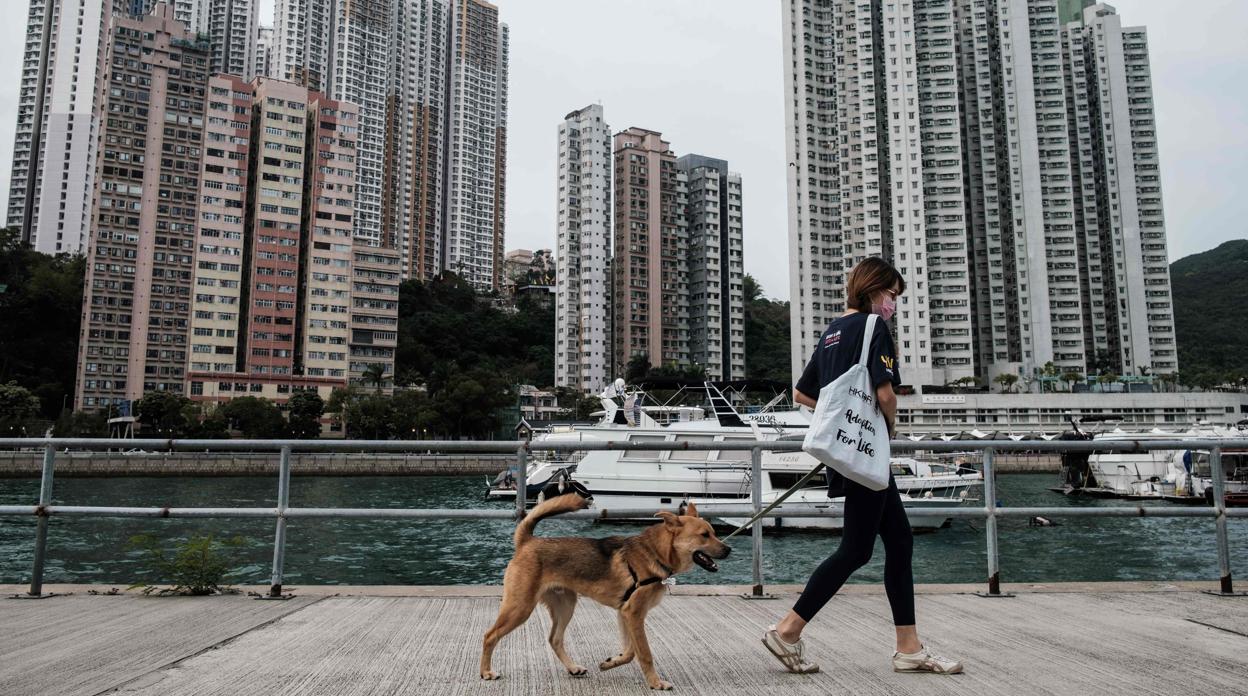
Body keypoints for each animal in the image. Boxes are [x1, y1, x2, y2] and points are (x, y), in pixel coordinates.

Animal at [476, 493, 728, 688]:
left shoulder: (626, 614)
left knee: (554, 639)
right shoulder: (633, 614)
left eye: (713, 532)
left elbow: (630, 652)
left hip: (565, 606)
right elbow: (644, 653)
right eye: (704, 535)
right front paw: (656, 683)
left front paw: (611, 662)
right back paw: (486, 672)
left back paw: (573, 668)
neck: (656, 552)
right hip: (520, 607)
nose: (729, 550)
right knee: (489, 635)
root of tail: (527, 541)